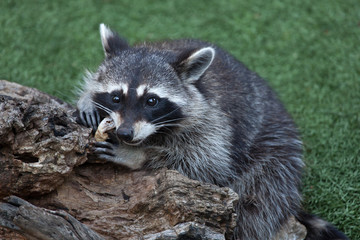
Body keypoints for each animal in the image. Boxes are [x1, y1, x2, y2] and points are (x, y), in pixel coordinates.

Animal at [76, 23, 348, 240]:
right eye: (116, 97)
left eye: (151, 101)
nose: (126, 134)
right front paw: (87, 100)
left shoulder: (216, 123)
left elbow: (206, 164)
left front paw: (139, 156)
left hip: (276, 153)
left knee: (257, 202)